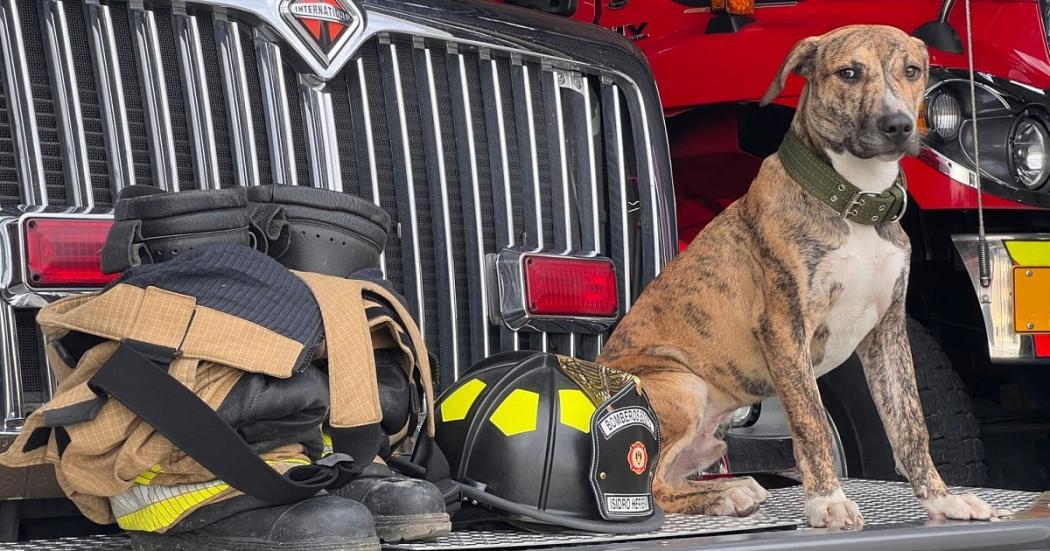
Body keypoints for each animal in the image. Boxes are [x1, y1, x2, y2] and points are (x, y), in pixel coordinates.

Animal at [596, 25, 995, 528]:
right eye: (848, 73)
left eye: (912, 70)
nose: (899, 125)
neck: (854, 200)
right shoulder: (786, 328)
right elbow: (812, 421)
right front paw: (827, 502)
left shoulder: (887, 335)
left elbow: (910, 425)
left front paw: (943, 500)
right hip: (682, 385)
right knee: (648, 488)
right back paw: (723, 497)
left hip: (711, 437)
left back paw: (732, 488)